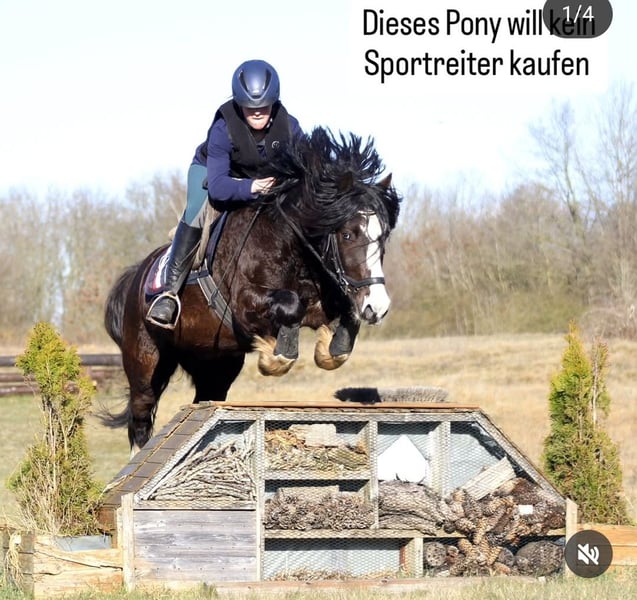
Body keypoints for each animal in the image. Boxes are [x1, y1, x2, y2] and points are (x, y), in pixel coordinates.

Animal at [103, 126, 401, 452]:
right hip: (145, 360)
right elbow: (290, 306)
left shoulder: (321, 304)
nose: (378, 307)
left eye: (384, 235)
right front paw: (276, 357)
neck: (288, 244)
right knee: (141, 416)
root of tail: (136, 276)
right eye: (347, 234)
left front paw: (330, 350)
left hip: (215, 364)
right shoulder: (245, 306)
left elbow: (343, 313)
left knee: (205, 397)